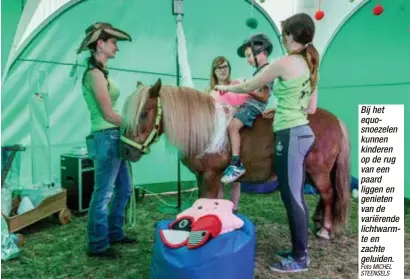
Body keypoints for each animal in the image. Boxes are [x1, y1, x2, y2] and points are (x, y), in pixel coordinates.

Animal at [120, 79, 350, 241]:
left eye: (144, 114)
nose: (126, 151)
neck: (207, 131)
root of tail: (336, 120)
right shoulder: (201, 176)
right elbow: (204, 201)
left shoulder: (211, 176)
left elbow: (207, 200)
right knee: (324, 195)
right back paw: (319, 222)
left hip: (318, 171)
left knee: (329, 194)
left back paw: (326, 230)